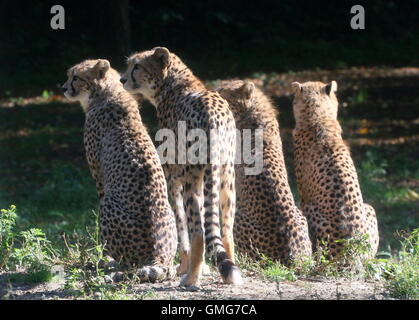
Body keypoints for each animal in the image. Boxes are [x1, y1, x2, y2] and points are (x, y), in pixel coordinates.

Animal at [63, 58, 178, 282]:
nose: (63, 88)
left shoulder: (99, 179)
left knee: (129, 265)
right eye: (69, 75)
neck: (106, 93)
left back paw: (109, 266)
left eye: (76, 77)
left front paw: (104, 258)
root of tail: (159, 257)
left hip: (108, 204)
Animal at [120, 46, 243, 286]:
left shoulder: (173, 178)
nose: (122, 79)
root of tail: (212, 114)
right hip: (226, 177)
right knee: (226, 231)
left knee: (198, 232)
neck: (172, 82)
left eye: (136, 66)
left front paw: (185, 267)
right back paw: (229, 272)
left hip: (192, 179)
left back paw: (190, 279)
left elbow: (181, 227)